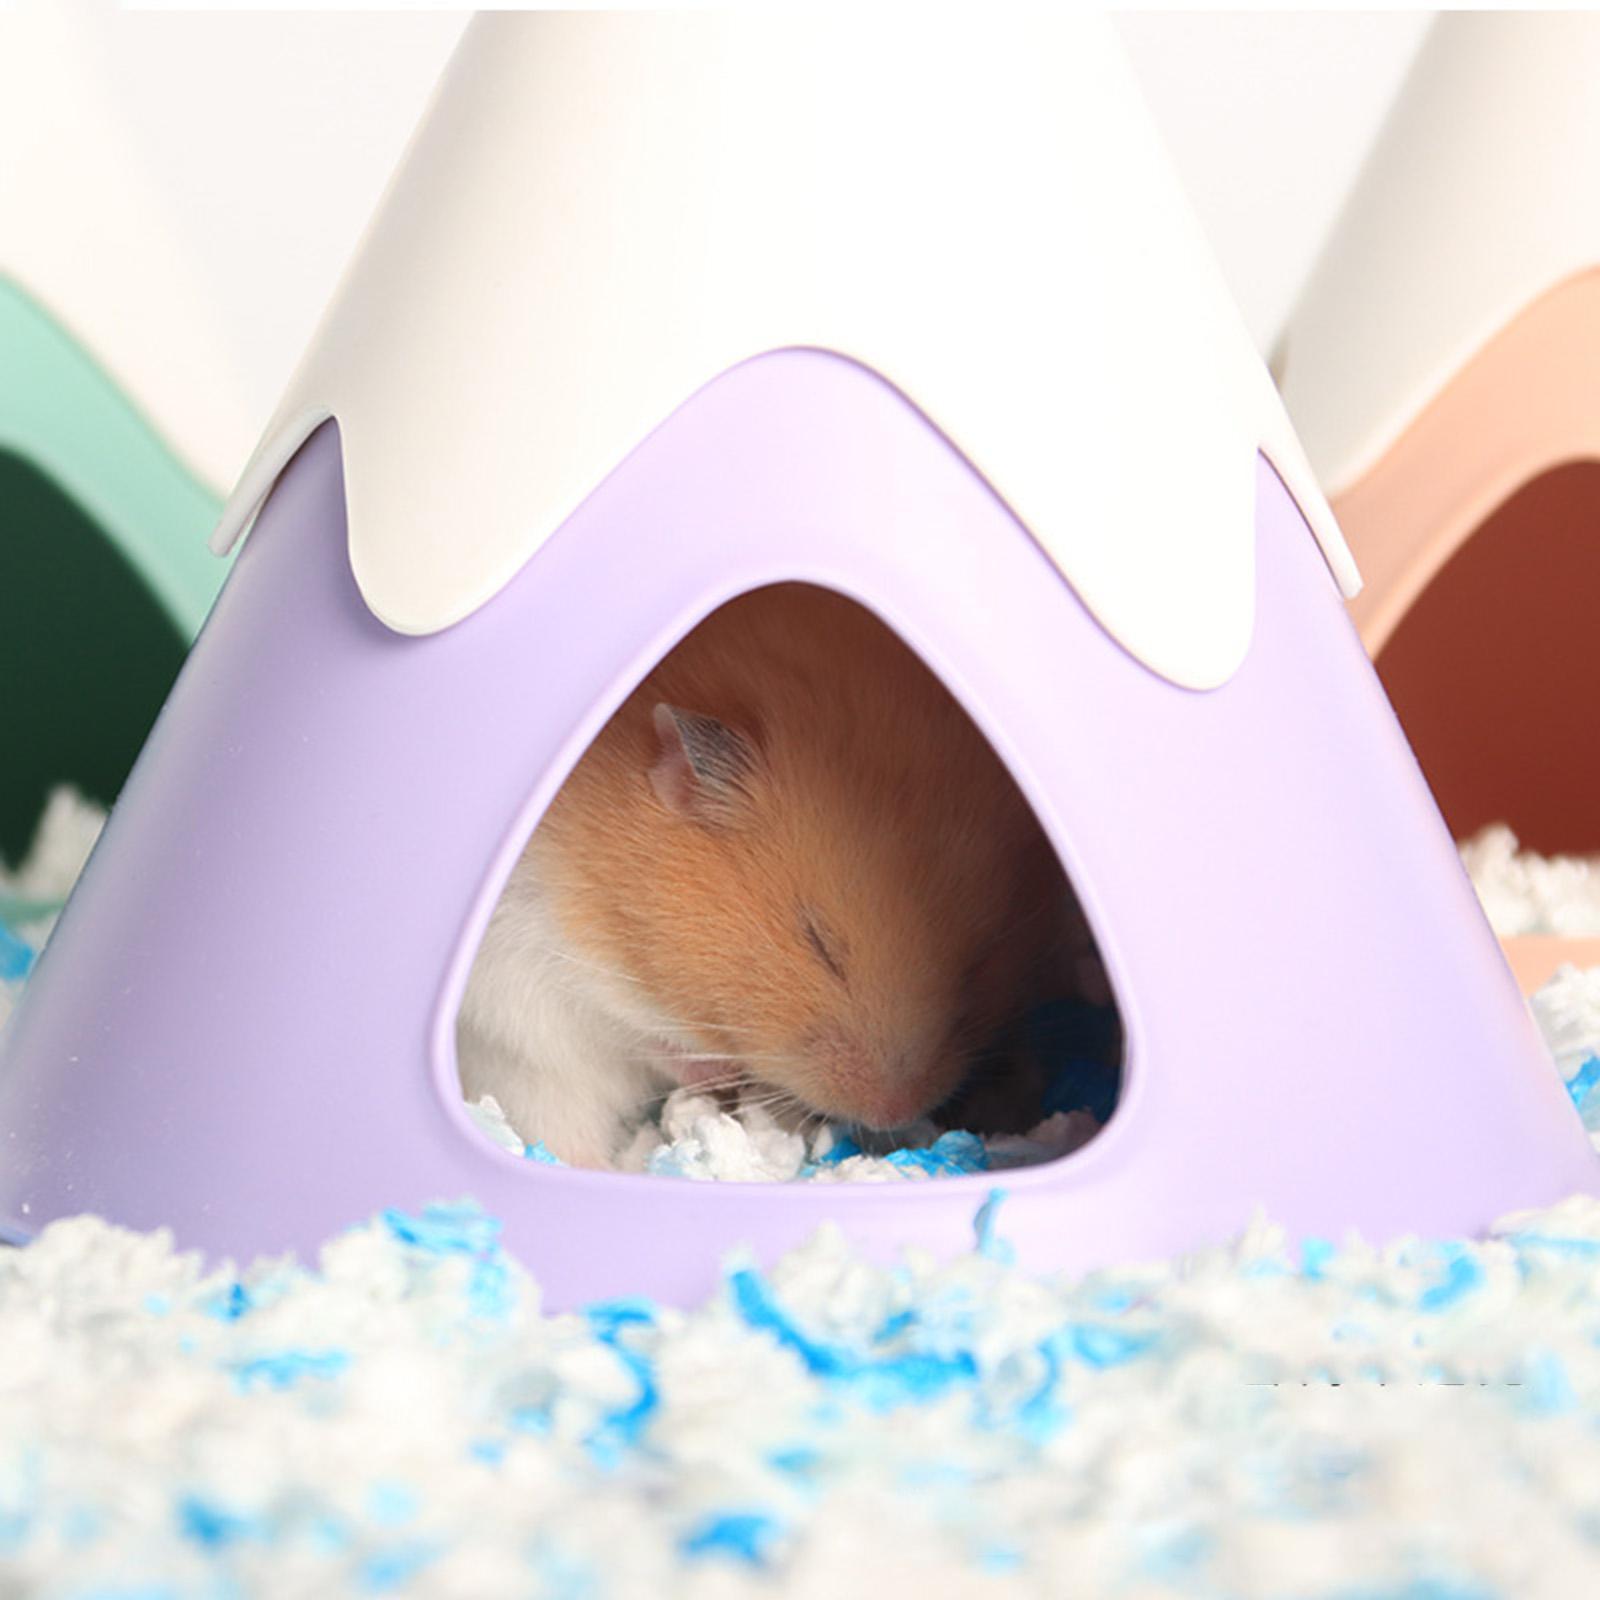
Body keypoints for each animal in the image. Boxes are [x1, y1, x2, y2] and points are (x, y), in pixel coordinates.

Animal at [456, 584, 1106, 1168]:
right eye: (817, 944)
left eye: (977, 964)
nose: (893, 1112)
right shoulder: (538, 951)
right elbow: (631, 1032)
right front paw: (721, 1072)